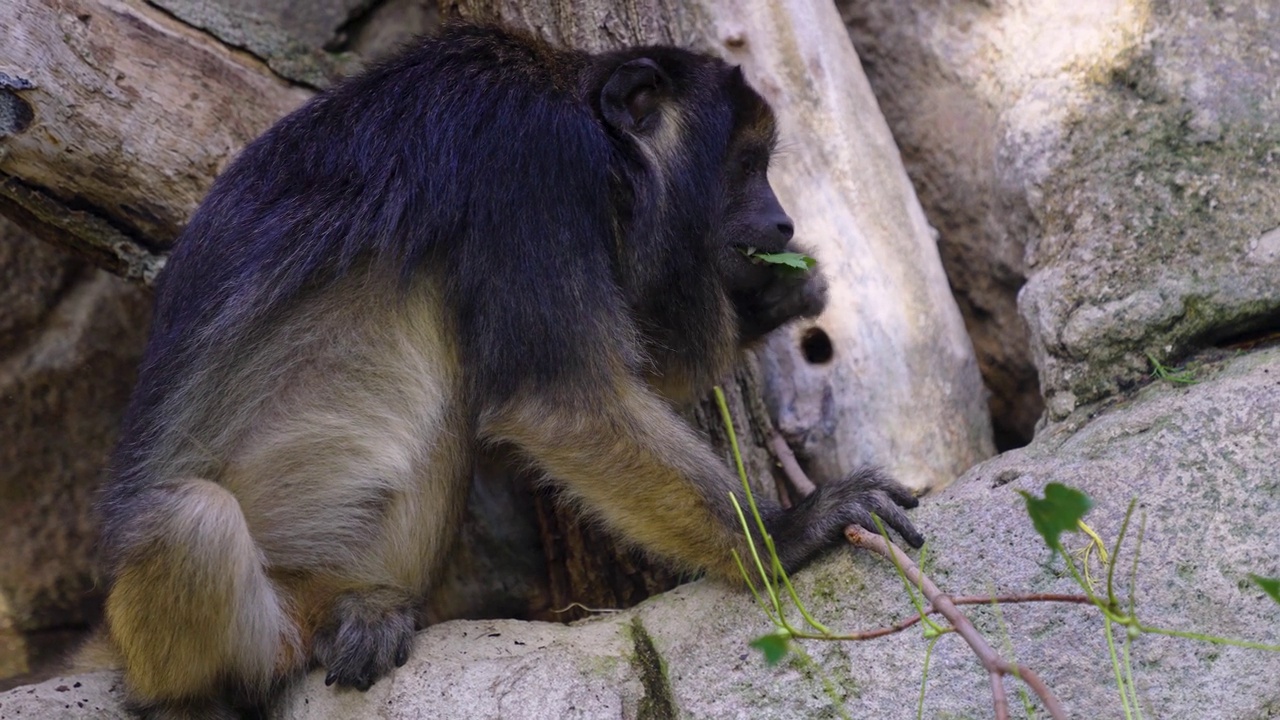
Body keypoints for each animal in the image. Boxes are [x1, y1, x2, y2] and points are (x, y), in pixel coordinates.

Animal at [94, 22, 926, 717]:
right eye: (748, 166)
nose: (783, 221)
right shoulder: (534, 162)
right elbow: (560, 400)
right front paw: (788, 531)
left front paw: (772, 297)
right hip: (148, 623)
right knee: (190, 521)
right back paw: (204, 692)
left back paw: (363, 608)